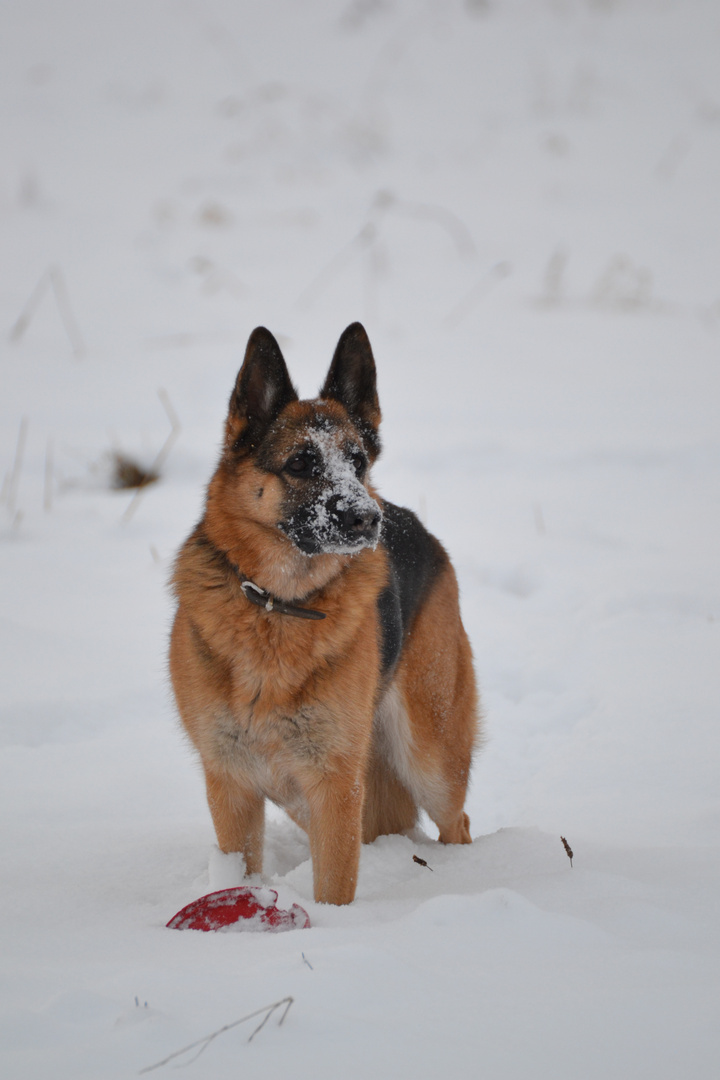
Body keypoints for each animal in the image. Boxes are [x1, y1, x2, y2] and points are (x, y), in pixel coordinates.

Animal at [170, 324, 479, 907]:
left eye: (357, 462)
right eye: (300, 463)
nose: (366, 518)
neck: (279, 605)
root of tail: (413, 522)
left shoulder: (334, 785)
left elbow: (334, 888)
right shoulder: (232, 786)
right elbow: (240, 870)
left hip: (430, 757)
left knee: (458, 822)